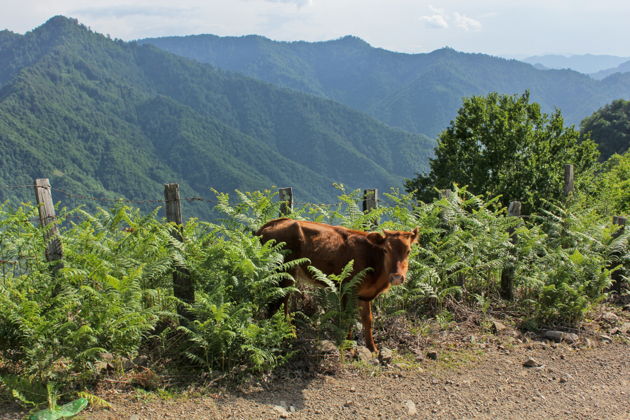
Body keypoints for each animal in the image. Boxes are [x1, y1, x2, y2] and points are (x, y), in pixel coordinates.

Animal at [256, 218, 420, 352]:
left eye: (408, 251)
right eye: (385, 250)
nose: (397, 277)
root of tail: (269, 225)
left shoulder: (364, 295)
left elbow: (367, 319)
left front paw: (373, 348)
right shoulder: (348, 289)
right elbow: (348, 317)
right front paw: (348, 346)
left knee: (283, 301)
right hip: (283, 272)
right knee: (276, 301)